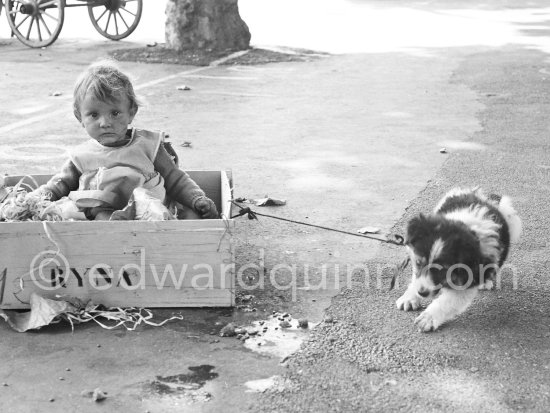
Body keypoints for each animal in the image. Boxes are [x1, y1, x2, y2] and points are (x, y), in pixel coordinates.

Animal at [398, 187, 524, 332]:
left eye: (443, 270)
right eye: (418, 262)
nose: (422, 293)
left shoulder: (468, 280)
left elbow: (447, 302)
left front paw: (428, 318)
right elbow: (416, 278)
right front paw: (410, 297)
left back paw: (486, 282)